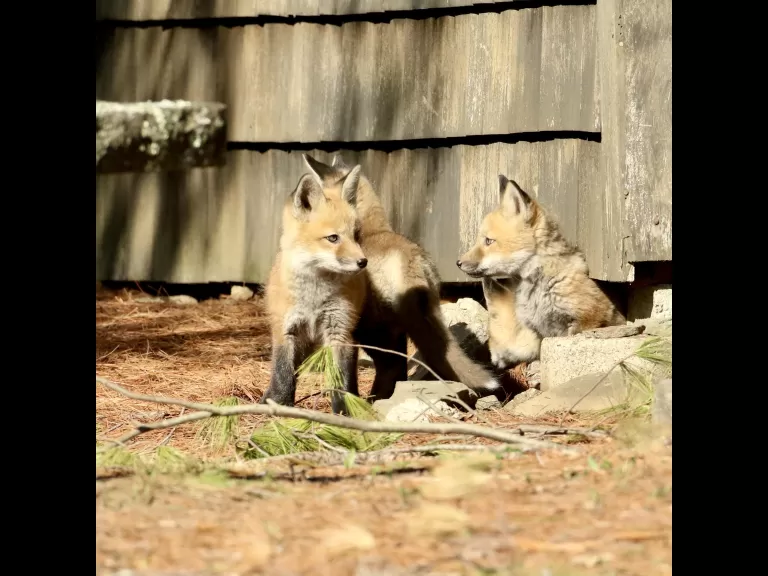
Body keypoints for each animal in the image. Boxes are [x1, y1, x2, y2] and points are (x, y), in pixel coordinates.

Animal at [259, 163, 369, 415]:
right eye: (333, 238)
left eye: (356, 236)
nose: (363, 262)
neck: (314, 296)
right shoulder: (285, 328)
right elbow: (283, 373)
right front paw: (280, 404)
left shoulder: (339, 330)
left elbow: (340, 378)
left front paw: (342, 411)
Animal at [301, 153, 500, 401]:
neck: (374, 231)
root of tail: (408, 262)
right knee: (399, 367)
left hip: (372, 331)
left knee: (389, 366)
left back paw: (372, 399)